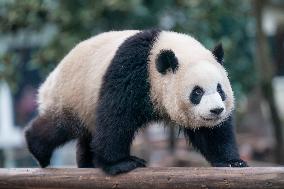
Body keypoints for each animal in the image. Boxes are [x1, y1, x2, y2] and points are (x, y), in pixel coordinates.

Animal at [25, 28, 246, 175]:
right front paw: (121, 163)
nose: (217, 110)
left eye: (220, 89)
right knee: (60, 126)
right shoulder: (132, 70)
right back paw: (38, 149)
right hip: (73, 94)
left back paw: (87, 162)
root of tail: (50, 79)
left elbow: (212, 133)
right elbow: (116, 116)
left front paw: (231, 162)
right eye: (197, 92)